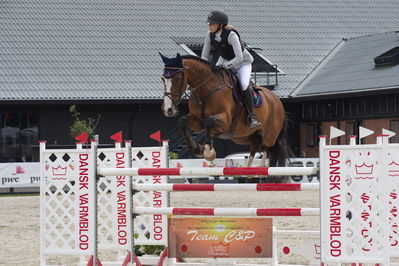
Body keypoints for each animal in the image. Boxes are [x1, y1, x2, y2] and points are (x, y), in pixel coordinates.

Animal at [160, 52, 290, 167]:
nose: (168, 109)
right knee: (256, 145)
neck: (205, 91)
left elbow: (209, 121)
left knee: (269, 149)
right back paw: (250, 168)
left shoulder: (225, 121)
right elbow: (182, 121)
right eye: (162, 79)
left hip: (270, 136)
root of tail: (277, 100)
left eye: (177, 78)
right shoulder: (197, 122)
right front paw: (197, 149)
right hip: (242, 137)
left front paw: (208, 151)